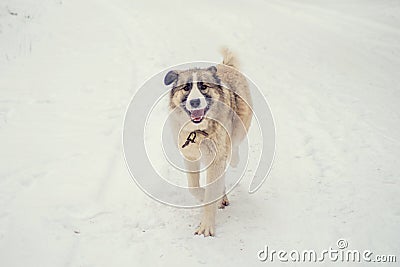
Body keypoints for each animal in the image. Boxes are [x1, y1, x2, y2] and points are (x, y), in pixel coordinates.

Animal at [163, 48, 252, 237]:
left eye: (203, 86)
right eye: (186, 87)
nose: (195, 101)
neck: (199, 132)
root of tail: (225, 65)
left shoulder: (216, 158)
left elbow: (211, 192)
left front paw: (206, 226)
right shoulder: (190, 157)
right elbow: (194, 187)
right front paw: (206, 196)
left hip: (239, 128)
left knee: (234, 151)